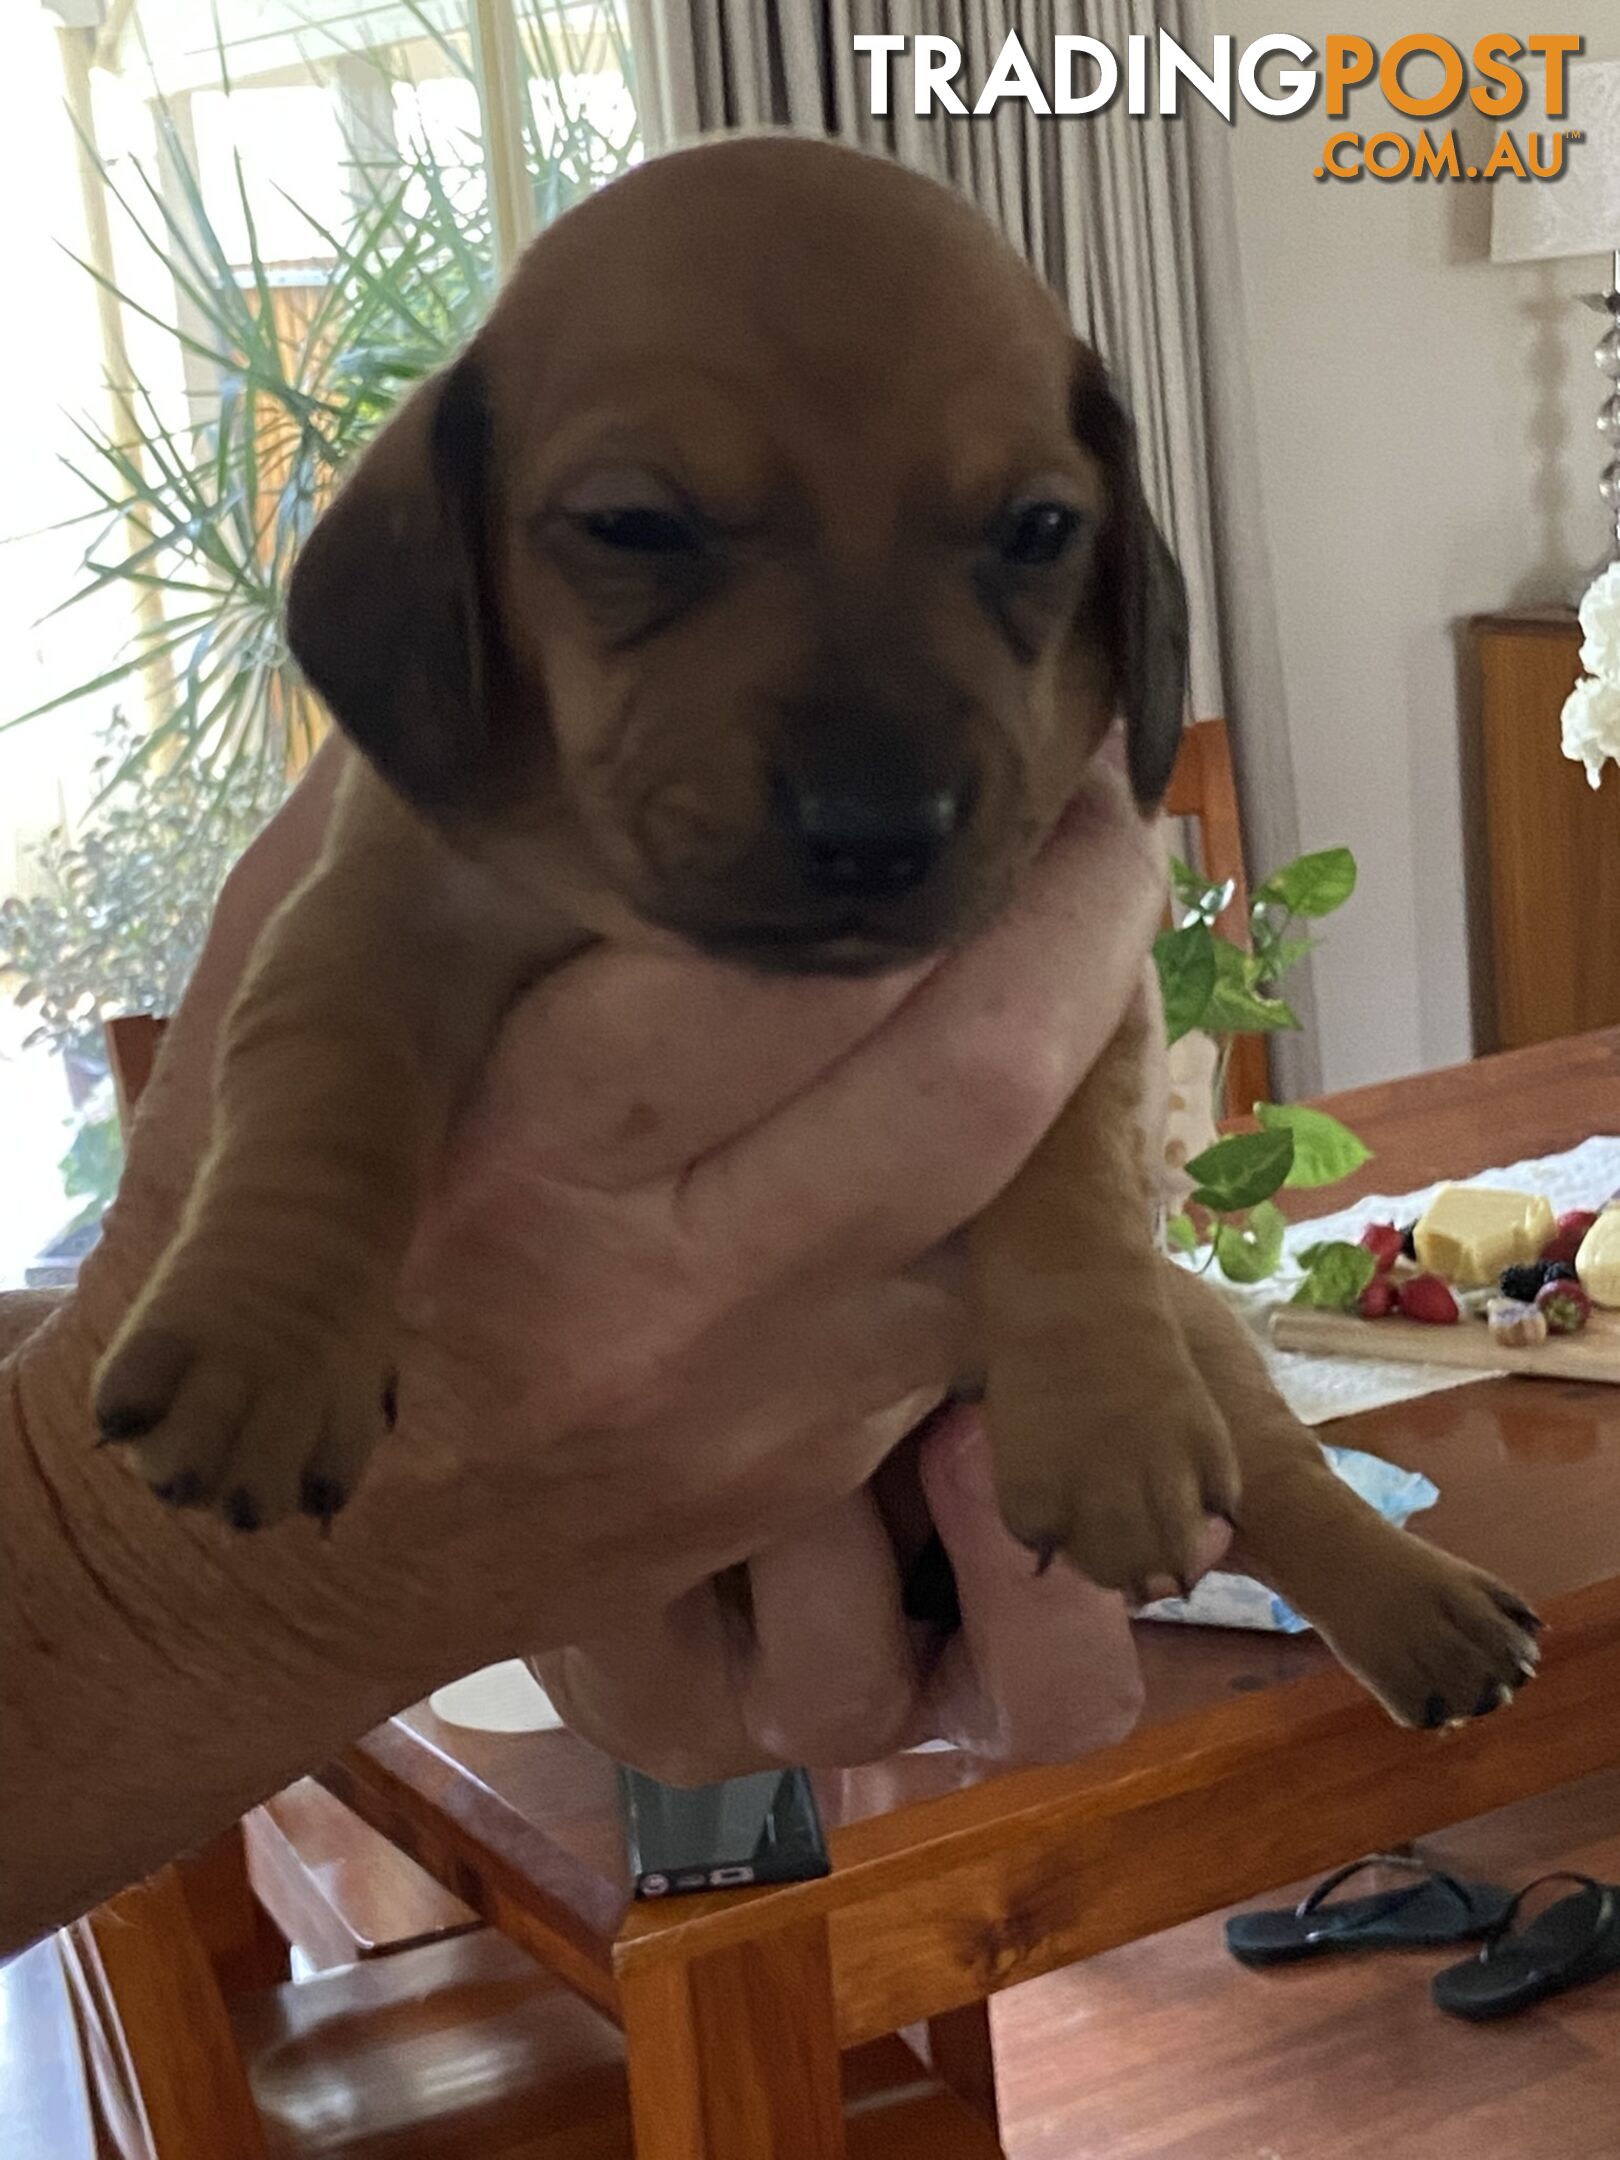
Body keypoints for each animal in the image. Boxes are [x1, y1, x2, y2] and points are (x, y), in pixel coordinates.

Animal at [95, 130, 1537, 1719]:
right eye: (631, 526)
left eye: (1041, 529)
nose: (878, 825)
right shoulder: (370, 917)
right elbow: (320, 1090)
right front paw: (257, 1346)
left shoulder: (1078, 977)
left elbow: (1074, 1178)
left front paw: (1110, 1424)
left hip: (1208, 1335)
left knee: (1275, 1472)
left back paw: (1420, 1607)